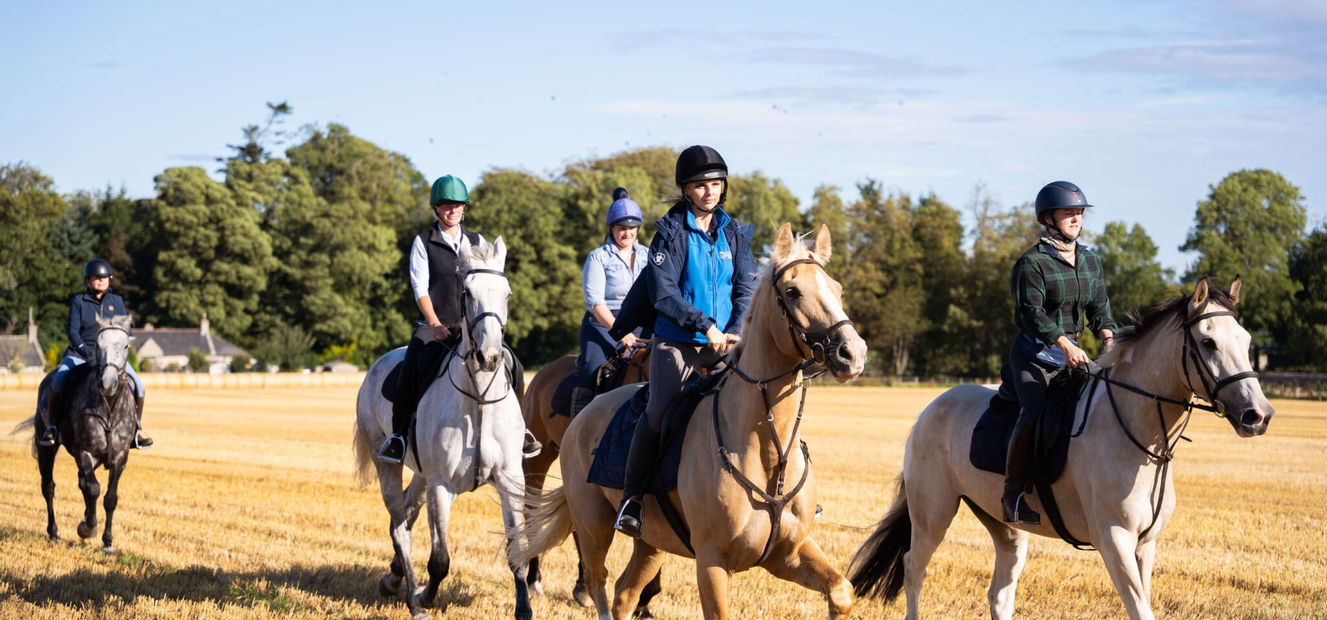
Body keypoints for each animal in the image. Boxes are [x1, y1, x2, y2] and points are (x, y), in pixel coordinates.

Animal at [16, 314, 138, 552]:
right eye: (98, 345)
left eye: (125, 346)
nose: (107, 383)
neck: (109, 406)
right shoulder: (85, 452)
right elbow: (93, 489)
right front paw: (87, 528)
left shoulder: (120, 456)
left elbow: (109, 497)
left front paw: (107, 542)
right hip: (47, 449)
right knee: (49, 487)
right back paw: (53, 532)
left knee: (81, 482)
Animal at [353, 238, 532, 620]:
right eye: (467, 292)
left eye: (507, 294)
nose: (489, 357)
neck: (478, 398)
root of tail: (378, 364)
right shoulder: (441, 486)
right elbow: (440, 560)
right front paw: (426, 597)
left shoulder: (511, 479)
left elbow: (518, 550)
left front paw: (524, 610)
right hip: (387, 464)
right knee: (400, 525)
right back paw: (411, 598)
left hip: (420, 476)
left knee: (406, 515)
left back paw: (392, 579)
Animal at [848, 276, 1274, 620]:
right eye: (1208, 342)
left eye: (1247, 340)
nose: (1258, 415)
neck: (1138, 436)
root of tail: (931, 408)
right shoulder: (1114, 540)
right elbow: (1140, 609)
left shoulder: (1145, 544)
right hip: (933, 514)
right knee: (914, 569)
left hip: (1005, 526)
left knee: (999, 593)